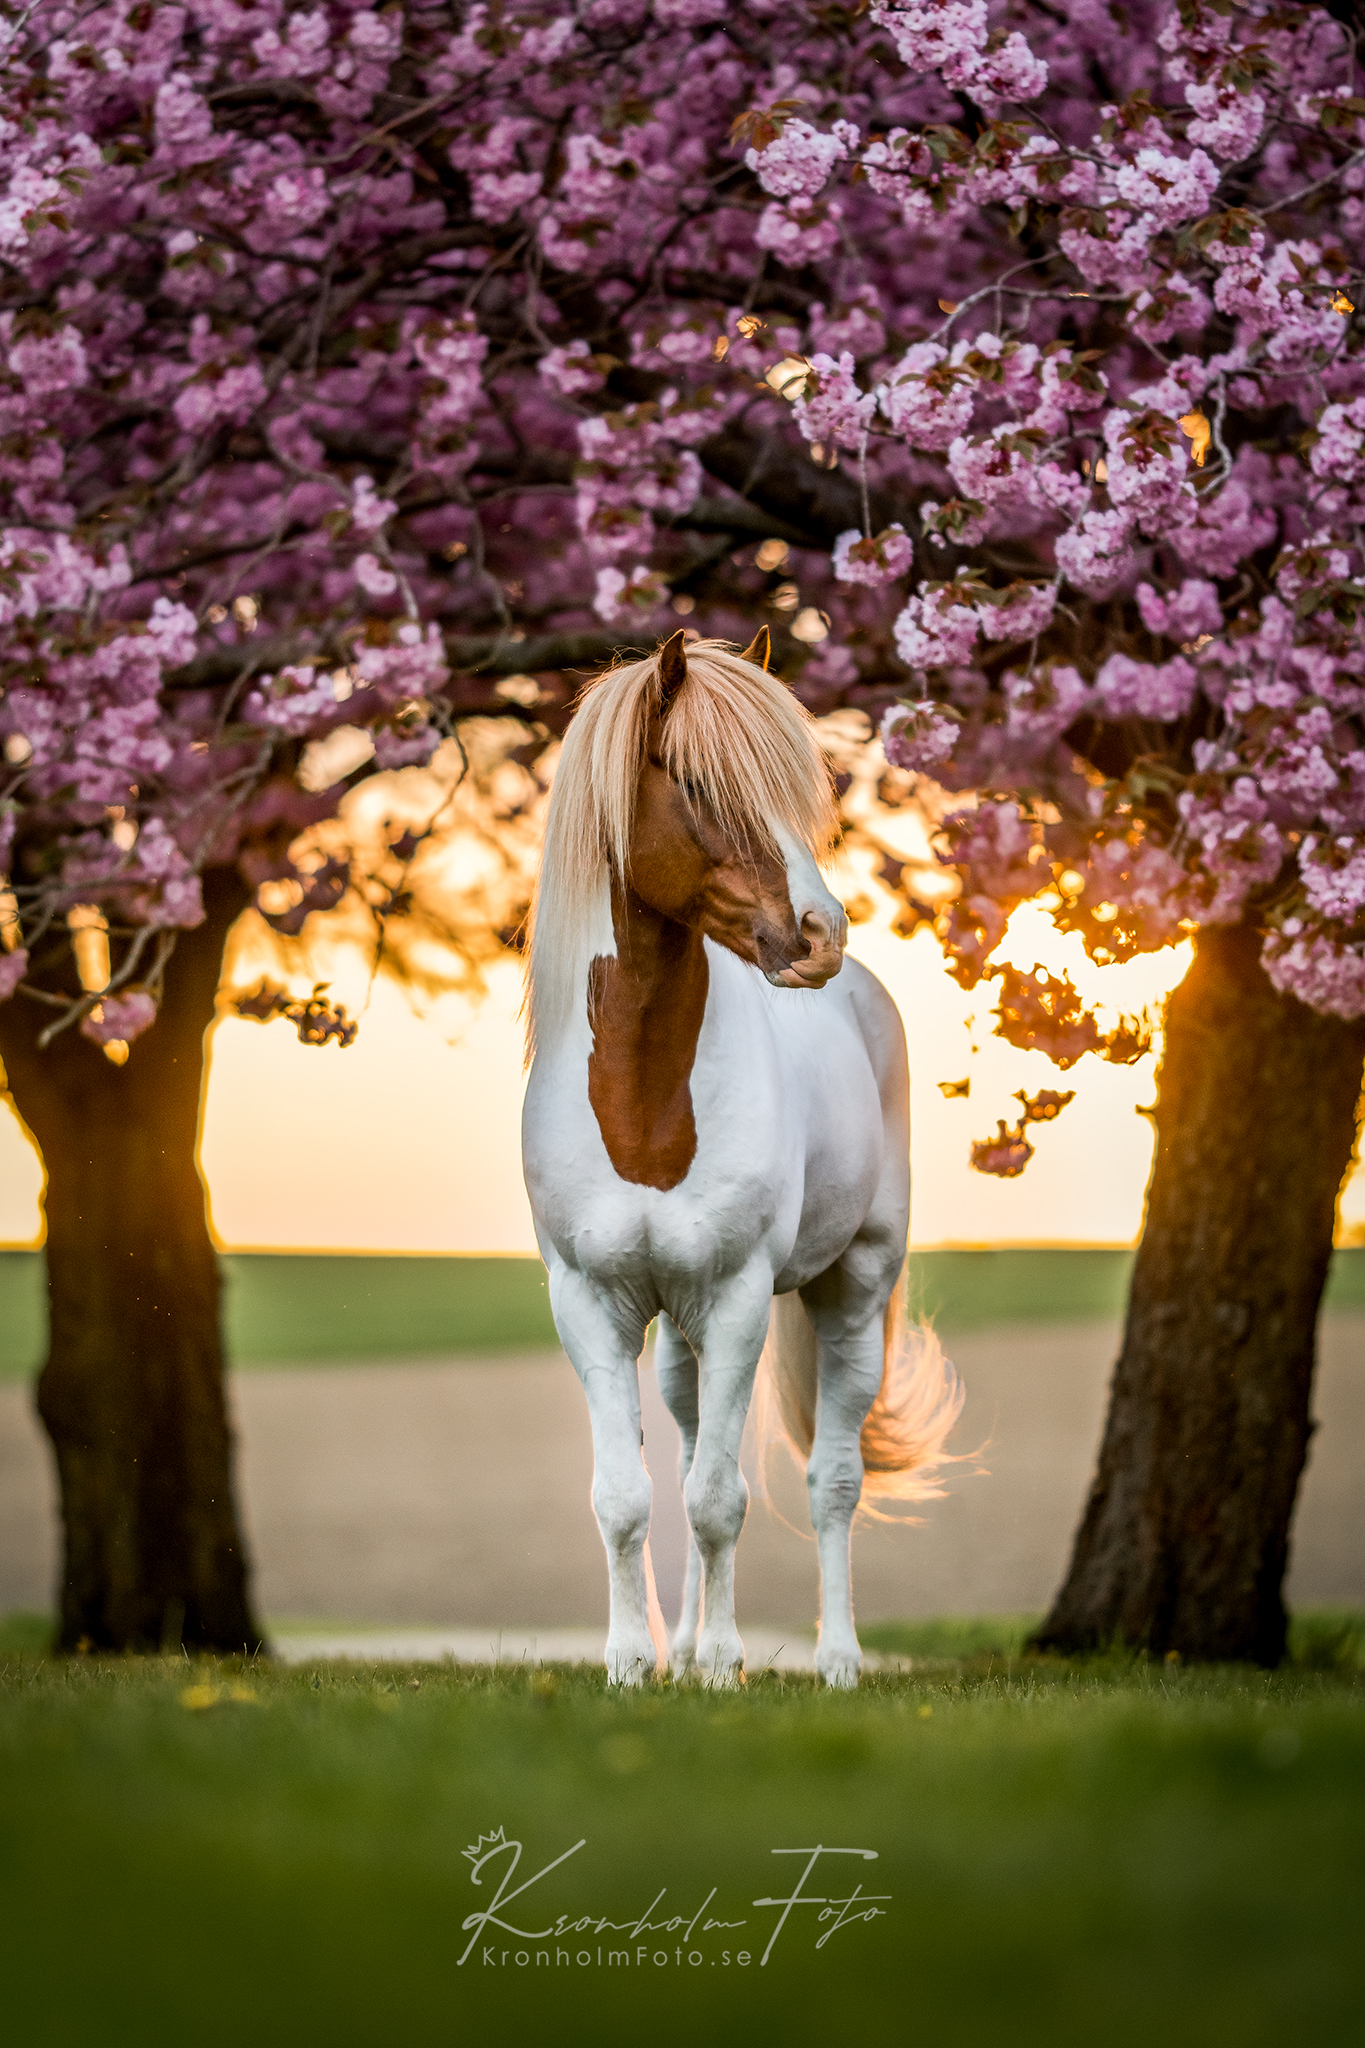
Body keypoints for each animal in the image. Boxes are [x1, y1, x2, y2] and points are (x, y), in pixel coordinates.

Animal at [523, 630, 961, 1687]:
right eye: (691, 781)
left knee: (831, 1478)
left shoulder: (733, 1299)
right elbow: (629, 1496)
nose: (820, 933)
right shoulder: (589, 1303)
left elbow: (720, 1501)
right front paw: (635, 1665)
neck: (643, 1105)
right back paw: (681, 1647)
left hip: (852, 1291)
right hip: (677, 1333)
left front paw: (724, 1667)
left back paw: (836, 1659)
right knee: (688, 1448)